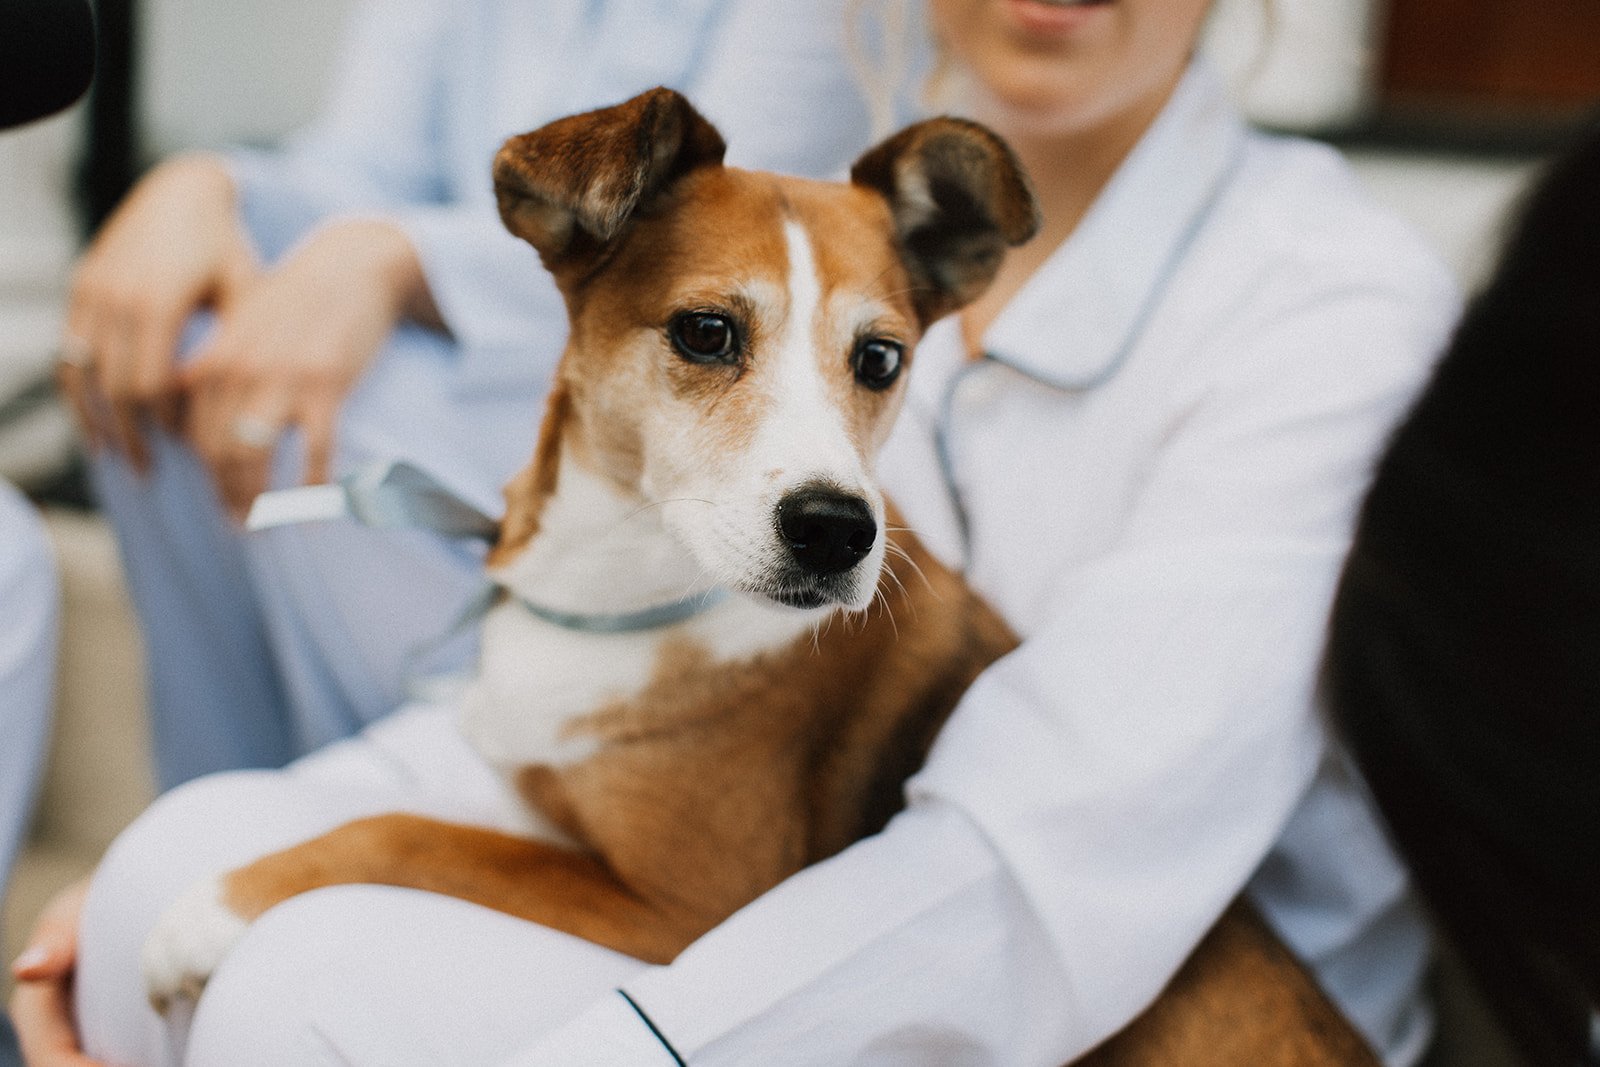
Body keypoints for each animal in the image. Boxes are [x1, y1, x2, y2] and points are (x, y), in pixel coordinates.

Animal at [144, 91, 1382, 1067]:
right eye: (705, 331)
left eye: (879, 357)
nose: (836, 531)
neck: (622, 592)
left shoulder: (685, 903)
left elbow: (412, 829)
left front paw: (207, 906)